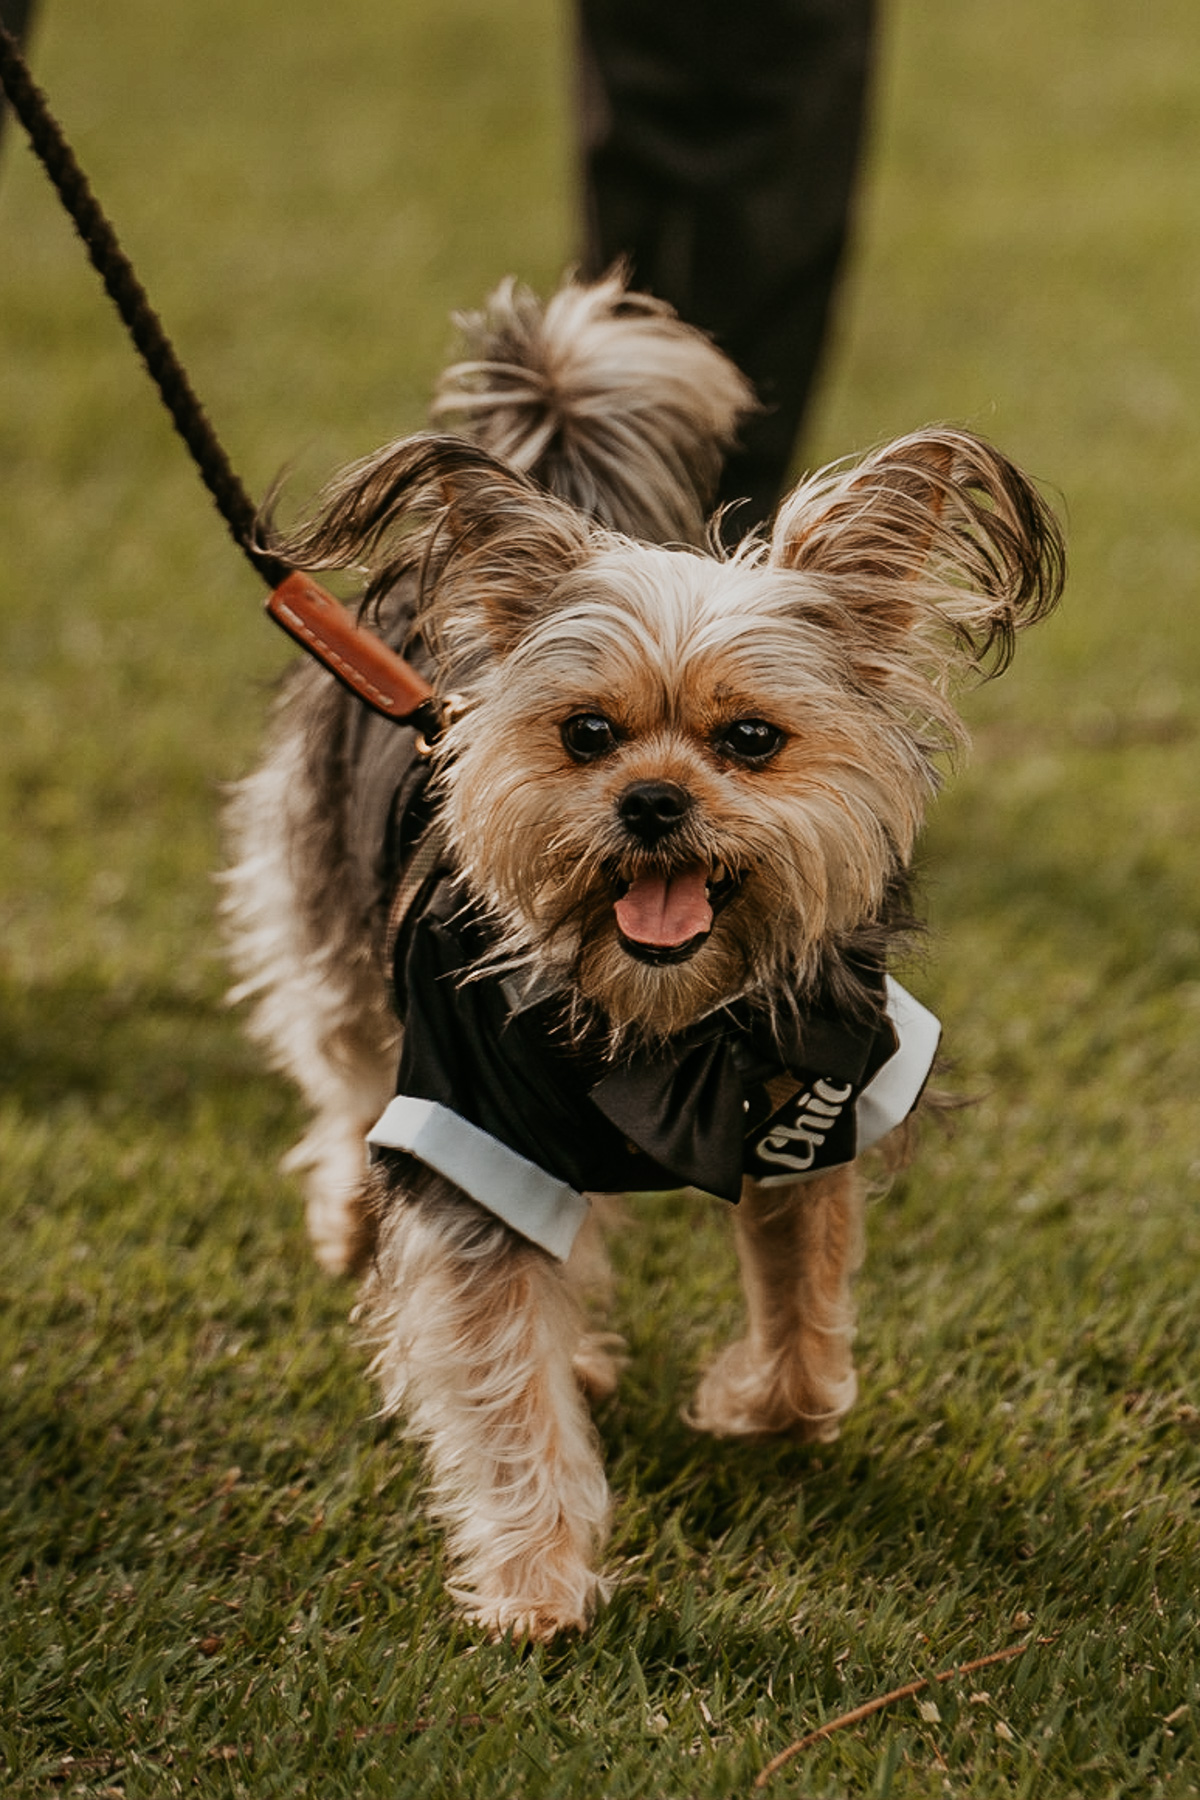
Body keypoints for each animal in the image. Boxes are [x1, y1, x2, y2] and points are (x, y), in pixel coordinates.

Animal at [224, 270, 1072, 1648]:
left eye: (751, 740)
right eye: (585, 734)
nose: (653, 801)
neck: (673, 1026)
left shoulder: (817, 1087)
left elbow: (805, 1305)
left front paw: (754, 1403)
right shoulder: (471, 1125)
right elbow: (501, 1378)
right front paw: (535, 1584)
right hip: (326, 910)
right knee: (342, 1069)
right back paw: (354, 1214)